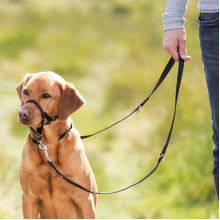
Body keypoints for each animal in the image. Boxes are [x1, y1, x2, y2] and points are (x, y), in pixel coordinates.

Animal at [17, 72, 98, 218]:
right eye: (26, 92)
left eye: (46, 95)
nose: (22, 114)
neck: (48, 143)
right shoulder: (28, 198)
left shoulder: (84, 199)